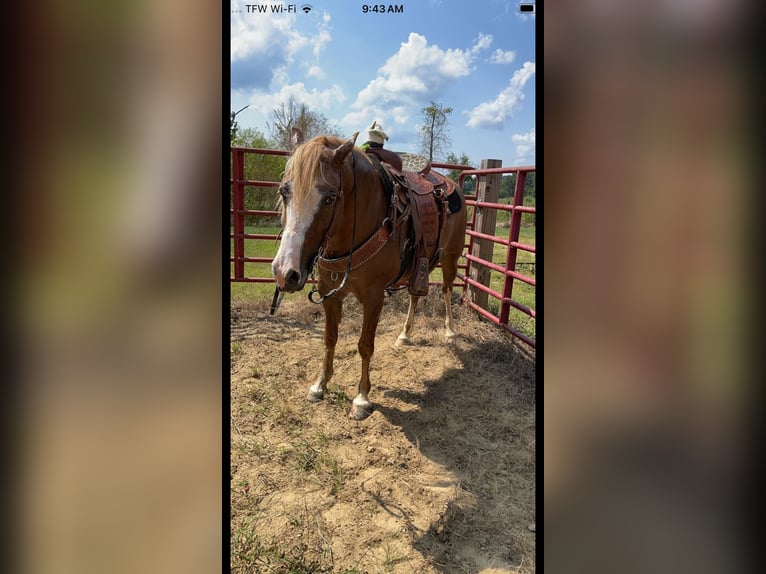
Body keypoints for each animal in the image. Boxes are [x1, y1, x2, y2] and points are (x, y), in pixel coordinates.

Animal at [272, 128, 472, 420]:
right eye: (284, 192)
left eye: (330, 197)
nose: (284, 272)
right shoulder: (330, 294)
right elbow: (329, 339)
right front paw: (320, 385)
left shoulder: (374, 298)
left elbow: (365, 345)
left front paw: (362, 398)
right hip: (420, 266)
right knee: (415, 295)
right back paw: (405, 335)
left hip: (450, 258)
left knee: (446, 290)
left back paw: (449, 332)